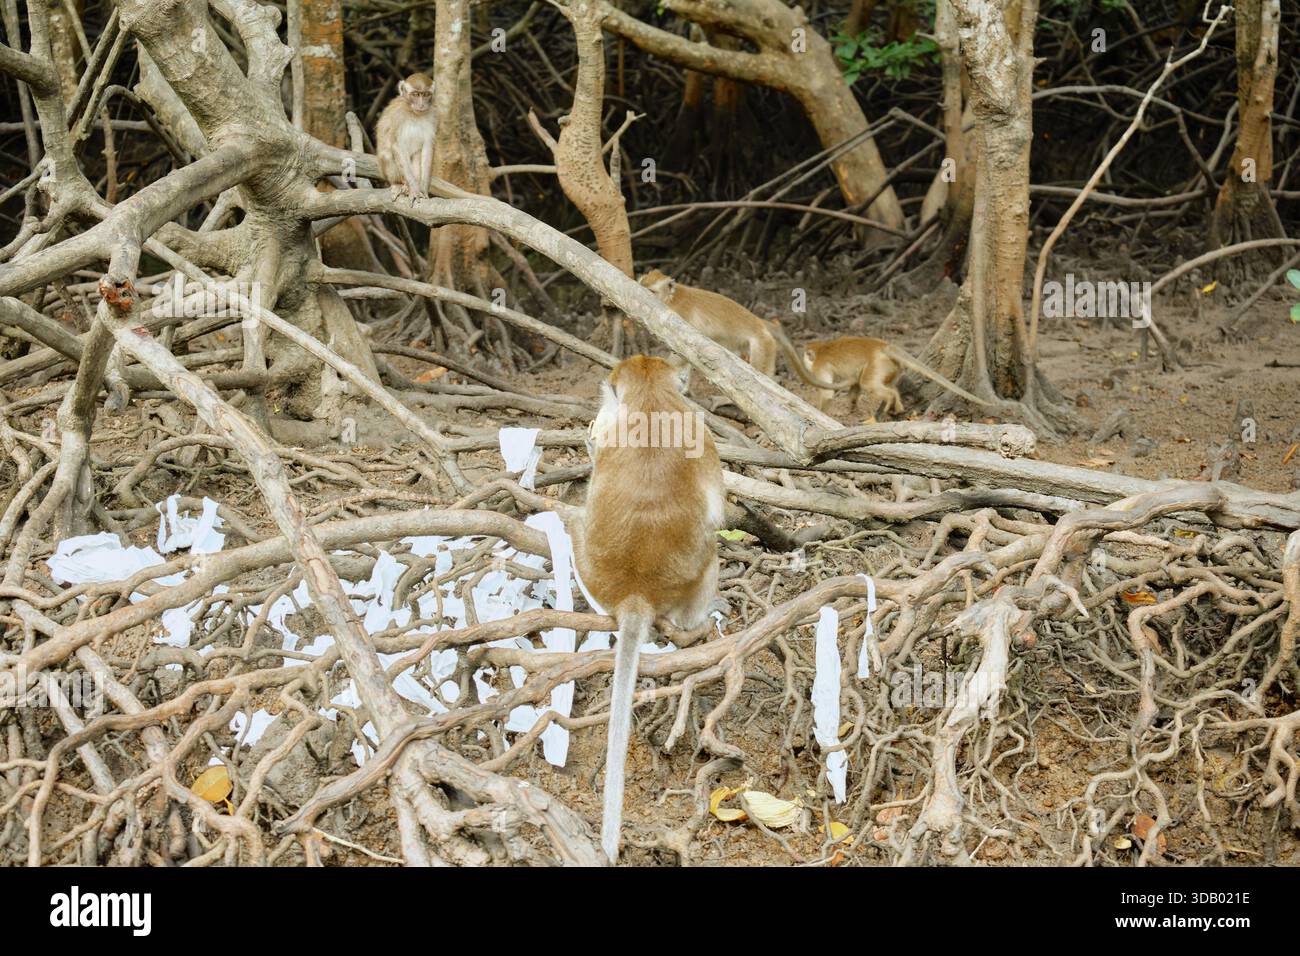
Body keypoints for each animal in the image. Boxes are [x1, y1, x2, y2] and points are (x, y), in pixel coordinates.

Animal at [639, 270, 777, 377]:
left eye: (651, 292)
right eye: (641, 286)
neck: (671, 299)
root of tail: (763, 330)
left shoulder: (678, 316)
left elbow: (684, 351)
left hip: (763, 346)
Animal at [766, 321, 990, 418]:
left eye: (807, 357)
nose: (804, 359)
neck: (821, 349)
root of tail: (884, 347)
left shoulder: (820, 366)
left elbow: (829, 394)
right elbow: (854, 387)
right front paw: (852, 408)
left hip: (879, 364)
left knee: (870, 383)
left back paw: (889, 402)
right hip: (891, 367)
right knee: (881, 384)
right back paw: (894, 404)